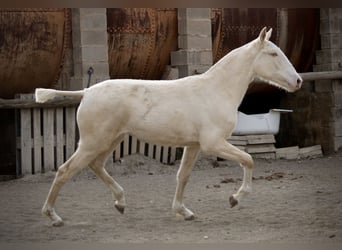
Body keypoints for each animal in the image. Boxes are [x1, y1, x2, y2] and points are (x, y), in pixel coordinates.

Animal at [35, 27, 302, 227]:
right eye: (273, 54)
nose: (298, 81)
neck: (216, 90)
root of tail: (87, 91)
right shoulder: (213, 143)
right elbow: (248, 159)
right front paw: (234, 199)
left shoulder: (194, 145)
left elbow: (182, 176)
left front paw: (184, 211)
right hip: (93, 142)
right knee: (65, 170)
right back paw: (54, 216)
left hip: (110, 140)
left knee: (96, 166)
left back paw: (120, 203)